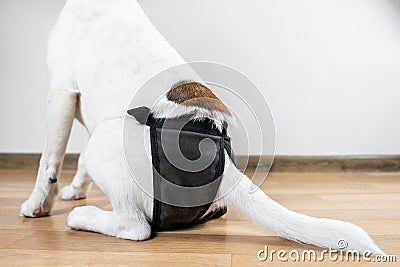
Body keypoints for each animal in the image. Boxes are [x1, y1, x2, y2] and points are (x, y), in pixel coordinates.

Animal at [20, 0, 382, 255]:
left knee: (134, 226)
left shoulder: (61, 93)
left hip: (104, 141)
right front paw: (75, 189)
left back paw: (84, 217)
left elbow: (48, 159)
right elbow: (75, 160)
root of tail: (221, 165)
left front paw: (39, 205)